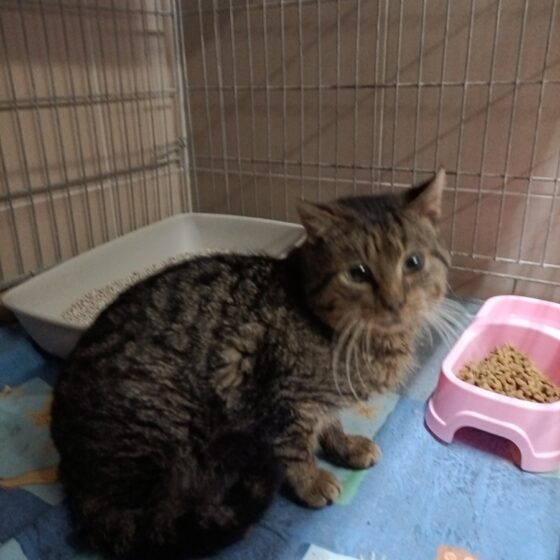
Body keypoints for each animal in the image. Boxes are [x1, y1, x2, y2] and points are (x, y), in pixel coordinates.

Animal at [51, 168, 450, 559]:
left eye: (413, 263)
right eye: (358, 273)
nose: (395, 303)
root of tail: (75, 478)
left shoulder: (318, 398)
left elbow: (331, 423)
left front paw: (346, 446)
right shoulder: (285, 398)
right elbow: (293, 446)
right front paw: (310, 480)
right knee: (164, 513)